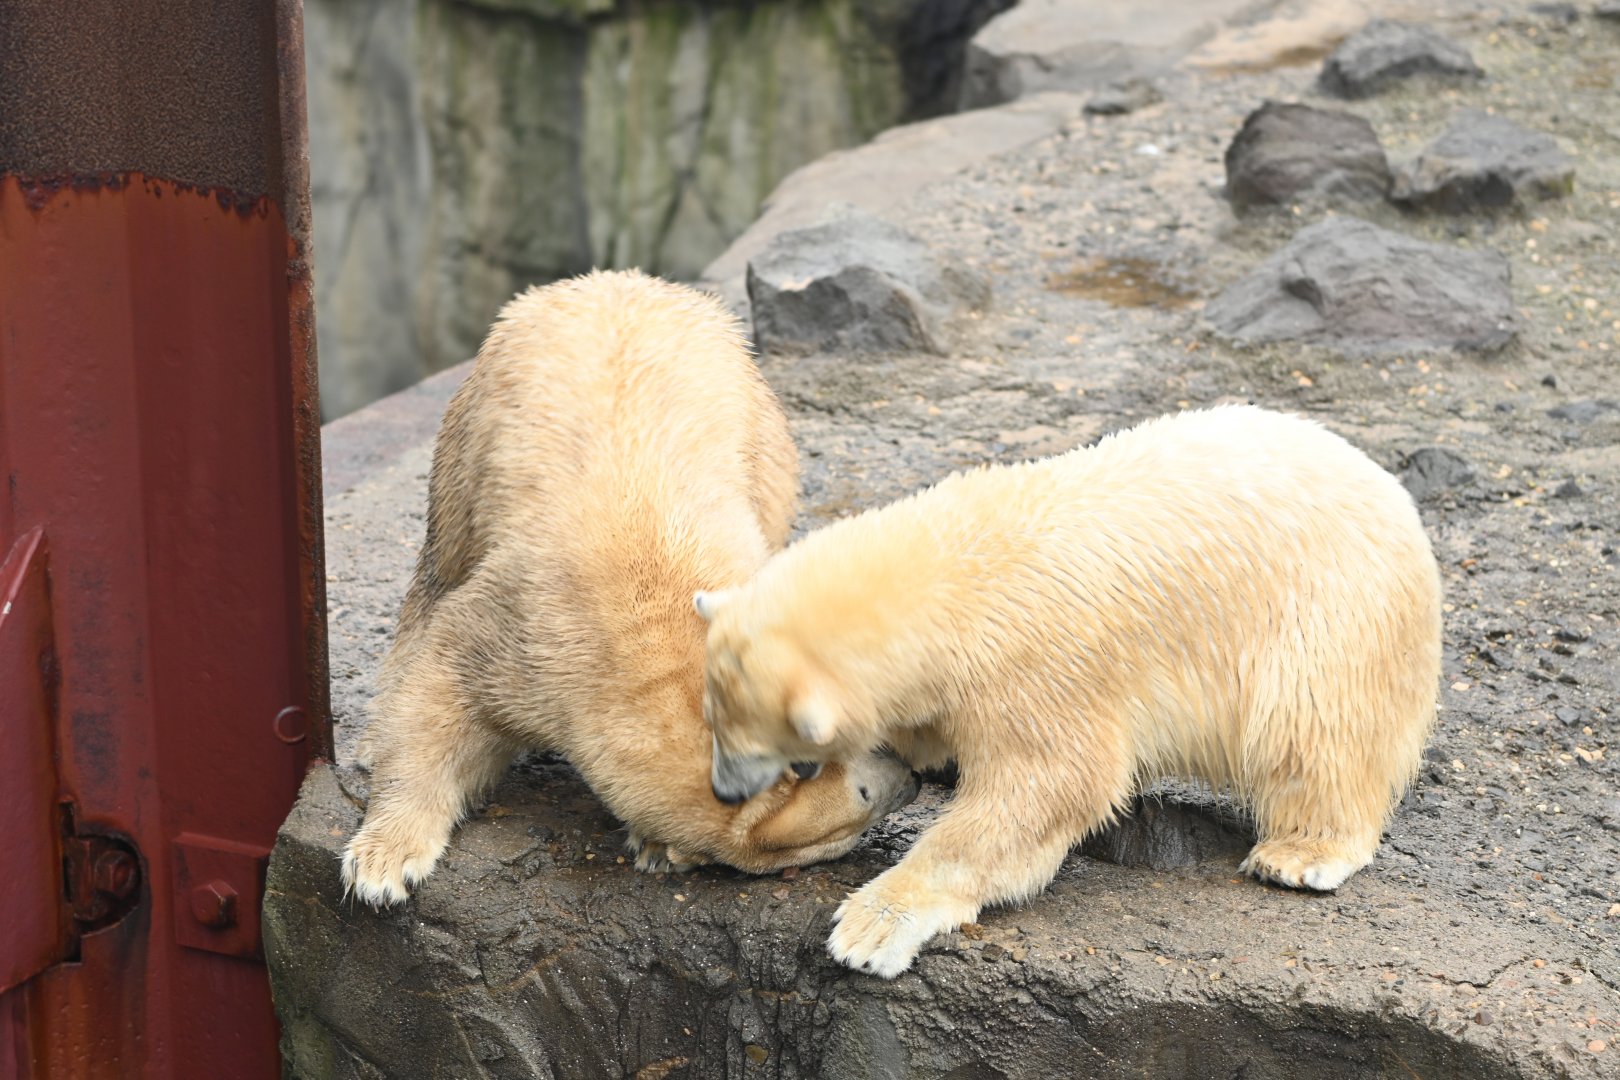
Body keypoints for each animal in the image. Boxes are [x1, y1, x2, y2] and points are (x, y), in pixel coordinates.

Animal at [341, 270, 917, 907]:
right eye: (861, 803)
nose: (913, 782)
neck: (649, 635)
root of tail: (625, 279)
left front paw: (656, 848)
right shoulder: (523, 626)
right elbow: (441, 687)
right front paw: (382, 864)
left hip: (760, 436)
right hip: (471, 433)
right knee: (439, 565)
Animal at [694, 405, 1443, 978]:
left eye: (774, 750)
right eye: (713, 715)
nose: (724, 791)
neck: (946, 577)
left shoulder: (1032, 665)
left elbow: (1046, 786)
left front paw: (871, 927)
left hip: (1332, 609)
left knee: (1313, 728)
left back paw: (1298, 855)